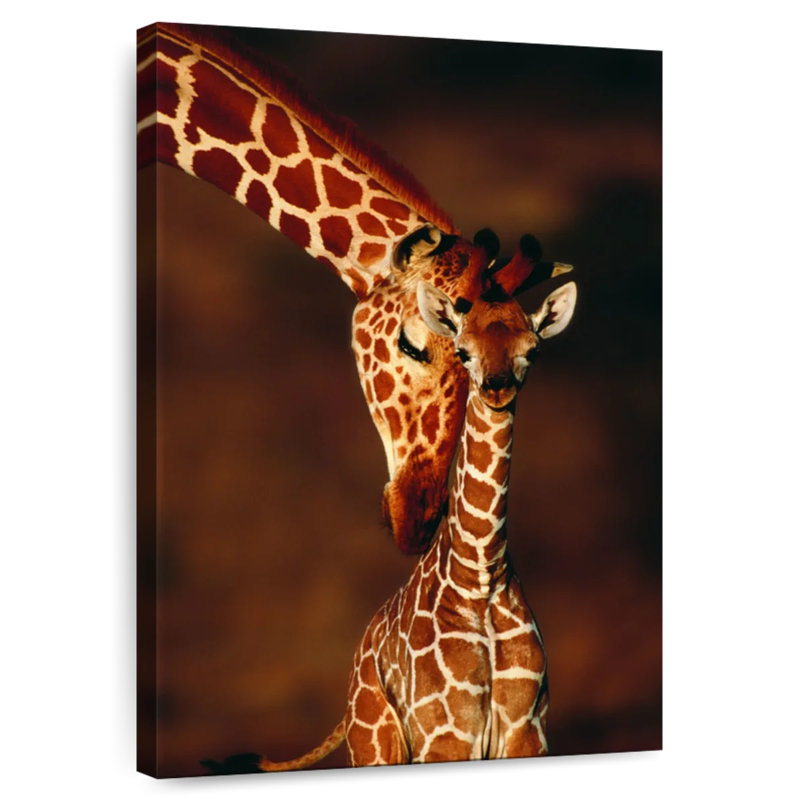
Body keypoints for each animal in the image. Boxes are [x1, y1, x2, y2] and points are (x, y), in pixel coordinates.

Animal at [203, 236, 577, 772]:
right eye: (463, 351)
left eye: (534, 349)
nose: (497, 386)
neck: (481, 574)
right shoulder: (446, 735)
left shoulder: (528, 730)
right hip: (376, 743)